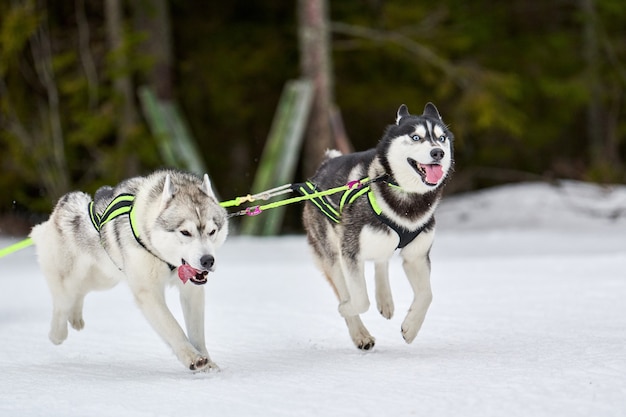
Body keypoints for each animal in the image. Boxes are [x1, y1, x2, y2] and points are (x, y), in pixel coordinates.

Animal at [29, 169, 228, 370]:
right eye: (185, 232)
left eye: (212, 232)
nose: (208, 261)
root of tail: (61, 208)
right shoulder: (148, 293)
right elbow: (173, 327)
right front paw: (192, 357)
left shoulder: (192, 291)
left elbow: (197, 334)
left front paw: (207, 362)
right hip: (68, 280)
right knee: (62, 303)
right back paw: (57, 334)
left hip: (105, 279)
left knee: (80, 292)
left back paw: (75, 317)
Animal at [300, 102, 450, 350]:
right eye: (416, 137)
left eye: (442, 138)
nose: (438, 152)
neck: (406, 199)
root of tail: (323, 165)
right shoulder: (350, 254)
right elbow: (360, 301)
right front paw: (346, 309)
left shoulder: (416, 256)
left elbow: (427, 295)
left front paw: (411, 328)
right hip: (332, 256)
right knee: (346, 286)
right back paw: (360, 333)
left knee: (382, 261)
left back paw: (385, 299)